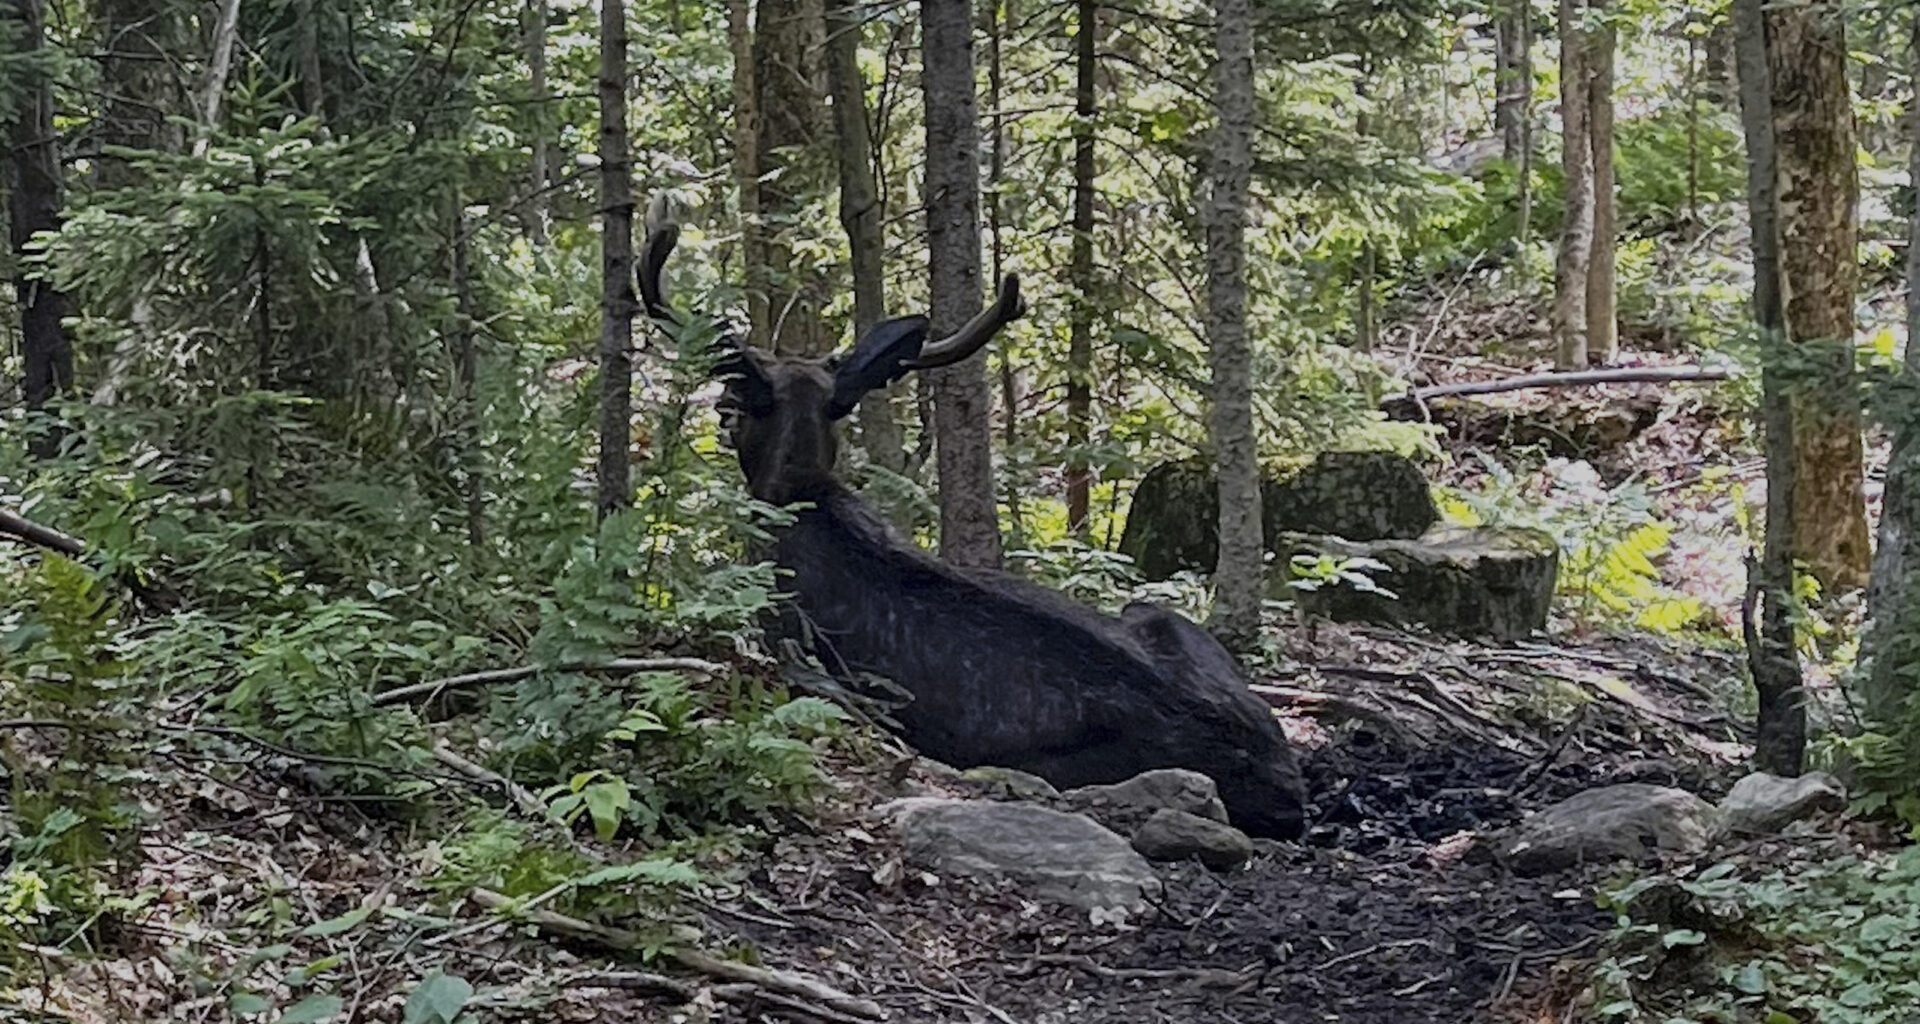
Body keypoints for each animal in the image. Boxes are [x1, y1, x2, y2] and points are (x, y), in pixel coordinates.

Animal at [638, 215, 1307, 839]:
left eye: (740, 403)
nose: (721, 410)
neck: (799, 495)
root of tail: (1286, 787)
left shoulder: (778, 629)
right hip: (1160, 616)